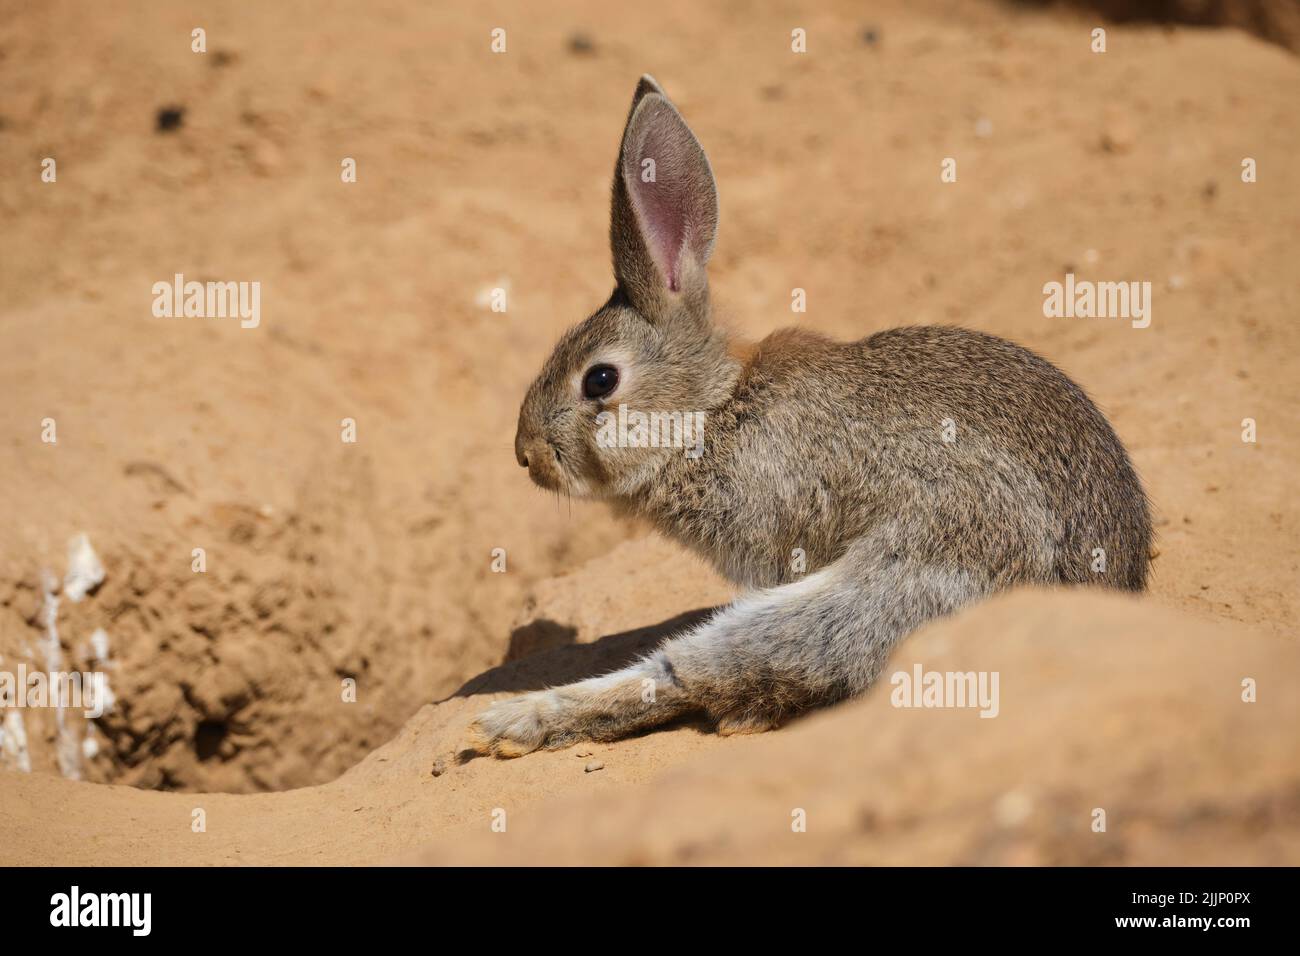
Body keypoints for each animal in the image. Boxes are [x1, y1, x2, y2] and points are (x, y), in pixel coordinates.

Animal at [462, 74, 1154, 759]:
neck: (713, 413)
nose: (526, 455)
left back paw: (512, 723)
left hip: (891, 581)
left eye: (600, 379)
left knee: (697, 670)